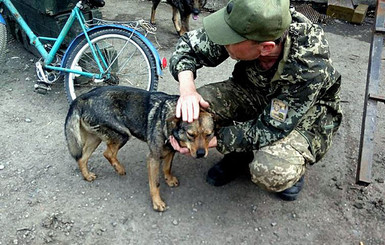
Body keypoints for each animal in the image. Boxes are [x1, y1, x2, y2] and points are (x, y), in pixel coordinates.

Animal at [64, 85, 214, 211]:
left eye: (209, 134)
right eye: (191, 135)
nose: (201, 153)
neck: (167, 119)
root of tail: (83, 97)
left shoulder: (170, 150)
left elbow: (167, 167)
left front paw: (169, 179)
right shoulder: (153, 158)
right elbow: (155, 183)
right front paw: (157, 202)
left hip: (96, 137)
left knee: (82, 158)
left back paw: (87, 175)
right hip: (122, 134)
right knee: (107, 154)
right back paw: (119, 169)